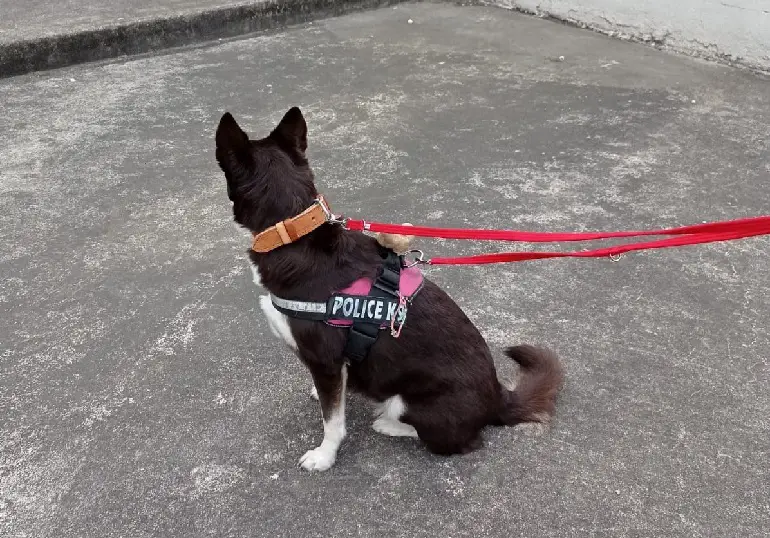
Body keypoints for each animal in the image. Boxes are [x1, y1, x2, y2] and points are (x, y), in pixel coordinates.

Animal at [213, 105, 560, 468]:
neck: (293, 232)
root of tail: (498, 396)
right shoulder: (331, 368)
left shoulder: (325, 361)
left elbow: (332, 420)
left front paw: (325, 455)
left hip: (414, 403)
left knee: (454, 440)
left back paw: (388, 424)